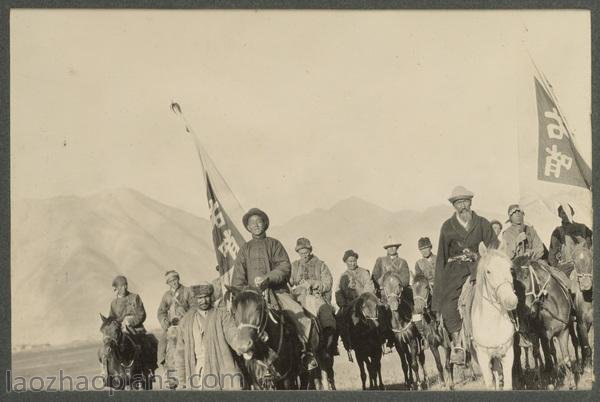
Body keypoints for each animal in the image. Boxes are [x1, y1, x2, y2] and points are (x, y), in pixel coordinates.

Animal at [472, 242, 516, 390]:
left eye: (510, 268)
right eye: (488, 271)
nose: (511, 301)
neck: (493, 324)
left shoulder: (507, 353)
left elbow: (507, 384)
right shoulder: (483, 358)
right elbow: (489, 384)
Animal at [508, 254, 580, 390]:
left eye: (526, 276)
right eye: (513, 283)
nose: (521, 310)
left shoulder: (563, 331)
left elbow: (566, 357)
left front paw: (571, 383)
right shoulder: (537, 334)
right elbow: (539, 354)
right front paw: (545, 382)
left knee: (573, 341)